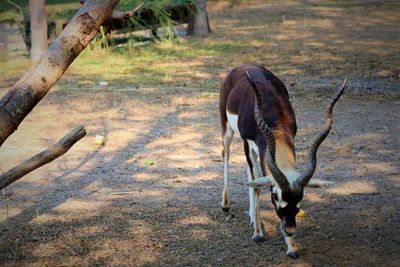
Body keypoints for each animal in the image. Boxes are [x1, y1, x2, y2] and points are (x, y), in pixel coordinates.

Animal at [220, 64, 346, 260]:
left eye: (301, 197)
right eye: (275, 195)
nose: (290, 229)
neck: (276, 125)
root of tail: (242, 67)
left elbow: (255, 182)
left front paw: (291, 247)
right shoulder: (248, 143)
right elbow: (257, 187)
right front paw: (258, 234)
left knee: (250, 175)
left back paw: (252, 216)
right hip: (227, 128)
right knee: (226, 154)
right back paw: (226, 205)